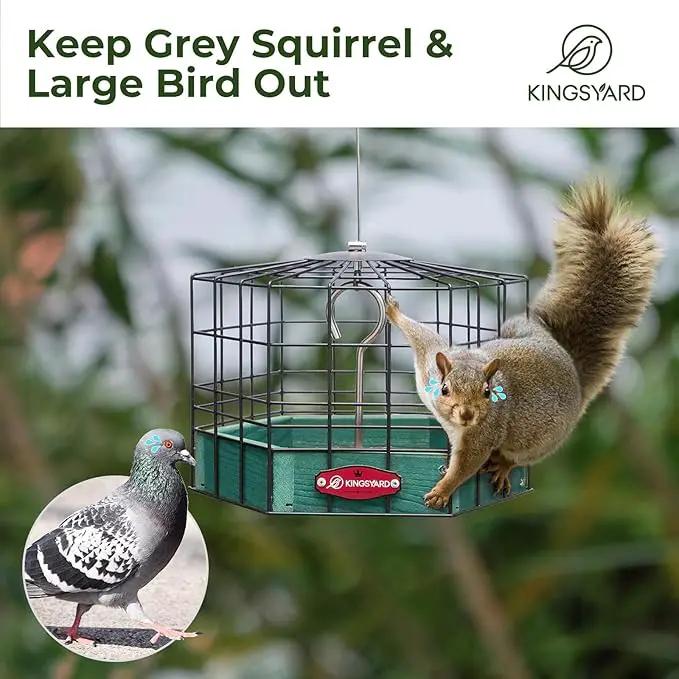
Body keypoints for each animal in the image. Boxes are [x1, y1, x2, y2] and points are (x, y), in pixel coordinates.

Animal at [385, 180, 660, 509]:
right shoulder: (429, 359)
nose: (467, 415)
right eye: (445, 389)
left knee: (519, 457)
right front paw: (392, 311)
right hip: (518, 326)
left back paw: (504, 467)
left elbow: (466, 465)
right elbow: (421, 335)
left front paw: (442, 491)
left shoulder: (483, 434)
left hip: (538, 441)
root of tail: (573, 373)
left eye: (487, 392)